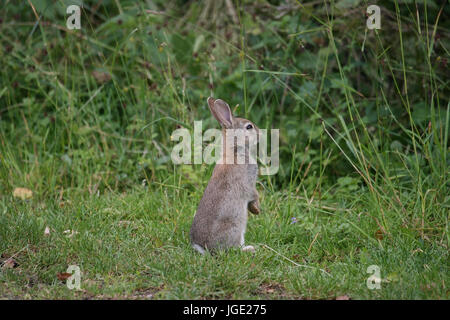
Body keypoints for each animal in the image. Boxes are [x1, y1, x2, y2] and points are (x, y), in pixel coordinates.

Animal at [189, 96, 260, 254]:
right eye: (249, 127)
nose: (260, 133)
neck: (235, 150)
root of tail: (204, 247)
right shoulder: (249, 183)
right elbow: (253, 195)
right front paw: (257, 210)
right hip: (235, 226)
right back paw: (249, 249)